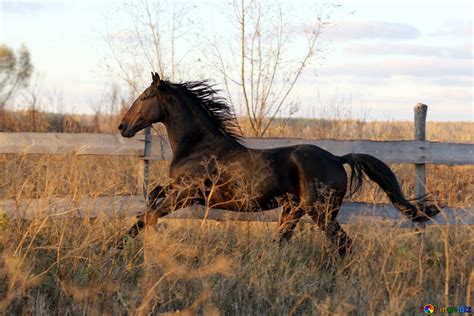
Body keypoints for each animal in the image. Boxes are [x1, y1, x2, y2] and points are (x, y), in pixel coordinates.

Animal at [116, 73, 438, 256]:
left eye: (145, 96)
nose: (122, 126)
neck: (197, 147)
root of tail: (337, 159)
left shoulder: (185, 194)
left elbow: (146, 218)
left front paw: (117, 249)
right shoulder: (178, 192)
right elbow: (150, 203)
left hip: (320, 212)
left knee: (342, 243)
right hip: (294, 210)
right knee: (285, 240)